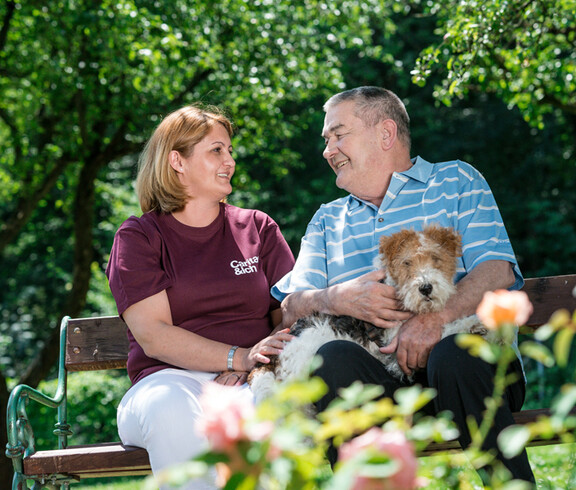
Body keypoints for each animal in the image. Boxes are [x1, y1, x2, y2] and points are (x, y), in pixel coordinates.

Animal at [250, 225, 488, 402]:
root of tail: (268, 362)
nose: (426, 288)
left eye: (436, 258)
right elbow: (445, 328)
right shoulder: (397, 343)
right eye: (407, 263)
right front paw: (475, 324)